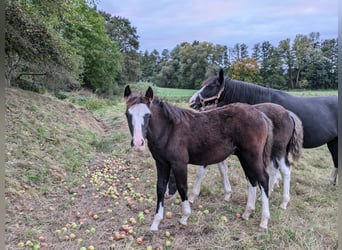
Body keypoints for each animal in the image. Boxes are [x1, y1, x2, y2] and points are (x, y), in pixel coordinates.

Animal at [124, 85, 274, 229]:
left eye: (148, 115)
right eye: (127, 114)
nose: (138, 143)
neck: (169, 130)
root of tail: (261, 115)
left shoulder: (179, 163)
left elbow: (182, 187)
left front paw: (185, 217)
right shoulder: (161, 163)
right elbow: (160, 188)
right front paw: (156, 223)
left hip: (252, 156)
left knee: (263, 179)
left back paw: (264, 220)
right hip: (244, 157)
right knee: (252, 180)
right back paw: (247, 212)